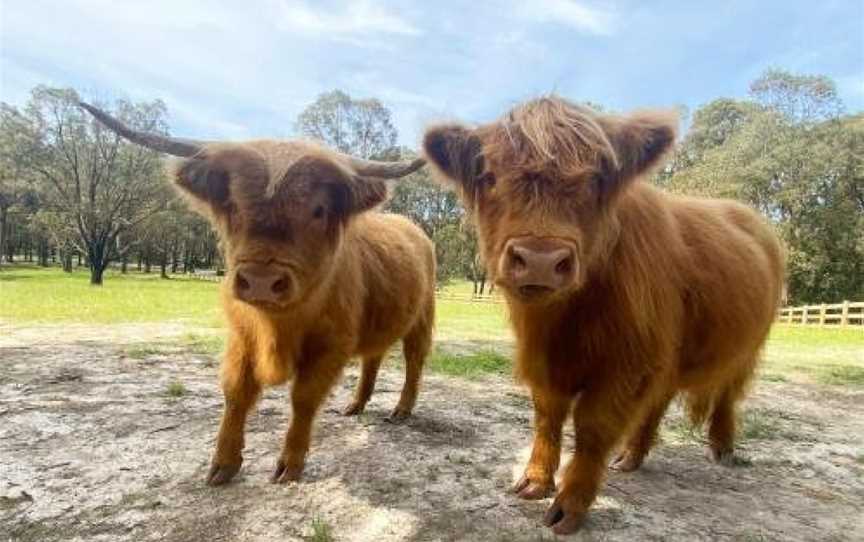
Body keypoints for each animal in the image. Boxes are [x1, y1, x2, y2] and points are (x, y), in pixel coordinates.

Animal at [82, 102, 438, 488]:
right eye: (233, 204)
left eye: (319, 209)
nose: (261, 280)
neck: (276, 327)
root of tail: (413, 228)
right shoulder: (241, 335)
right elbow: (236, 392)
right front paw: (222, 464)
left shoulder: (331, 344)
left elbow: (303, 398)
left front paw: (290, 465)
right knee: (373, 356)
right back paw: (355, 405)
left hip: (423, 318)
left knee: (414, 361)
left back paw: (401, 409)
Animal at [424, 96, 784, 536]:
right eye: (490, 176)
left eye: (596, 179)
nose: (540, 260)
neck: (563, 323)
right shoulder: (549, 364)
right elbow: (547, 417)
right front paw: (534, 481)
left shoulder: (626, 365)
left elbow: (593, 428)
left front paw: (569, 507)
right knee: (661, 400)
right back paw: (631, 457)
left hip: (748, 347)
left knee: (729, 394)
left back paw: (723, 447)